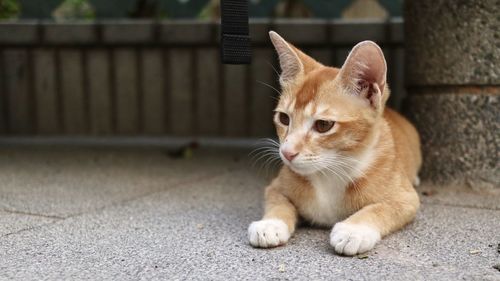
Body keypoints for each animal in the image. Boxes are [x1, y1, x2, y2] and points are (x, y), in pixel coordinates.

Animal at [248, 31, 420, 255]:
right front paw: (270, 224)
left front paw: (354, 230)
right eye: (284, 118)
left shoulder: (406, 198)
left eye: (323, 125)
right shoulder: (275, 186)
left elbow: (382, 208)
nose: (287, 152)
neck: (330, 172)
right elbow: (278, 201)